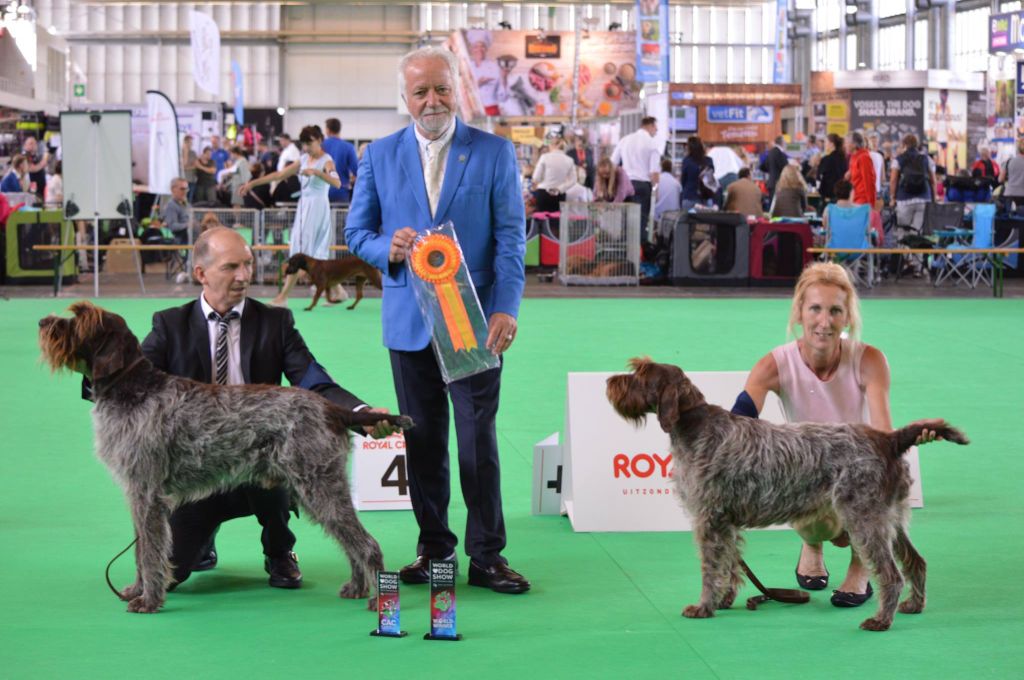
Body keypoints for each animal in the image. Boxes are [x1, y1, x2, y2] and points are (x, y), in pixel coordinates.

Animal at [37, 303, 411, 614]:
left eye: (80, 319)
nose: (43, 322)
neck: (132, 389)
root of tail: (332, 408)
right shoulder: (138, 493)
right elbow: (142, 549)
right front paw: (136, 590)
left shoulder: (146, 493)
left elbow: (150, 551)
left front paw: (149, 600)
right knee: (349, 539)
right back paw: (357, 587)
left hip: (318, 485)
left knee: (365, 542)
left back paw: (378, 599)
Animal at [606, 358, 966, 630]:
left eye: (640, 374)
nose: (610, 381)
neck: (692, 424)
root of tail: (888, 439)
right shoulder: (725, 522)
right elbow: (730, 564)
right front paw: (724, 600)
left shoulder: (709, 519)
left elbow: (711, 568)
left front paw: (704, 606)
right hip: (891, 518)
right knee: (916, 562)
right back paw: (914, 605)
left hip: (864, 518)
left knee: (891, 574)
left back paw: (881, 620)